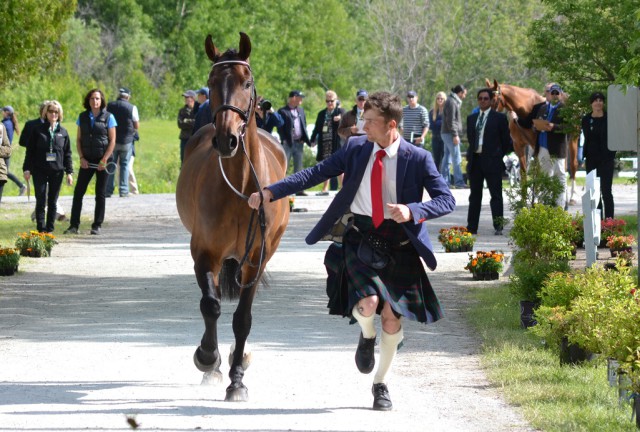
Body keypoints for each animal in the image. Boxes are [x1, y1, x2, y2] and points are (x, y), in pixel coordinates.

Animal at [174, 33, 286, 402]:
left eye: (246, 83)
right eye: (211, 82)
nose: (226, 139)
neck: (241, 186)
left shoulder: (255, 260)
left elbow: (243, 319)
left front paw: (237, 380)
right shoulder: (205, 253)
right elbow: (211, 306)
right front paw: (208, 358)